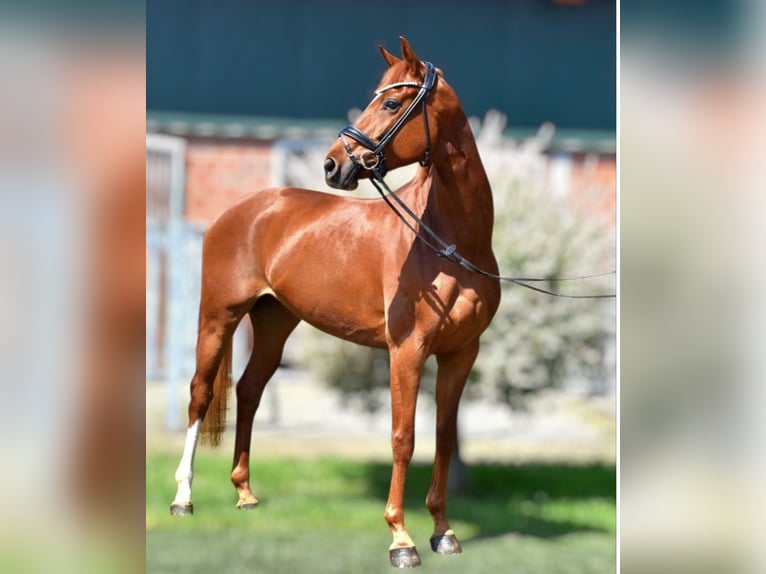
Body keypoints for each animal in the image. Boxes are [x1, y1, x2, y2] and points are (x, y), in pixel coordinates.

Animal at [169, 36, 501, 568]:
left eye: (391, 103)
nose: (331, 165)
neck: (448, 241)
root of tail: (242, 209)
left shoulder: (460, 353)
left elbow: (444, 438)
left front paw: (444, 533)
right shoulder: (407, 351)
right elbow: (403, 438)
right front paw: (401, 540)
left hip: (275, 323)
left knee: (249, 390)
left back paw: (245, 495)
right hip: (218, 316)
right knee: (200, 394)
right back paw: (183, 499)